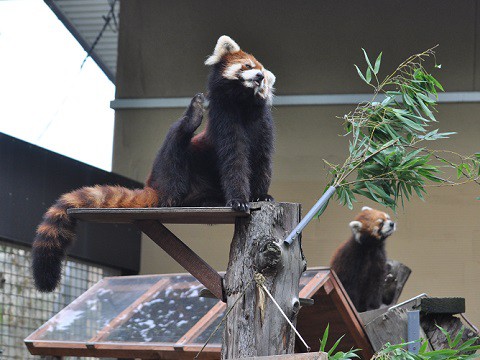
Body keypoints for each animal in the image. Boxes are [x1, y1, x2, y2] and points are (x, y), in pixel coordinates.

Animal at [31, 35, 276, 292]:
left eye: (262, 73)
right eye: (247, 66)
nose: (260, 77)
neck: (243, 106)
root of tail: (155, 186)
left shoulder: (263, 129)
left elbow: (262, 163)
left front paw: (260, 195)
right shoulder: (225, 121)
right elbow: (233, 163)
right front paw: (239, 199)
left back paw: (209, 200)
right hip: (170, 167)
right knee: (175, 150)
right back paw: (191, 118)